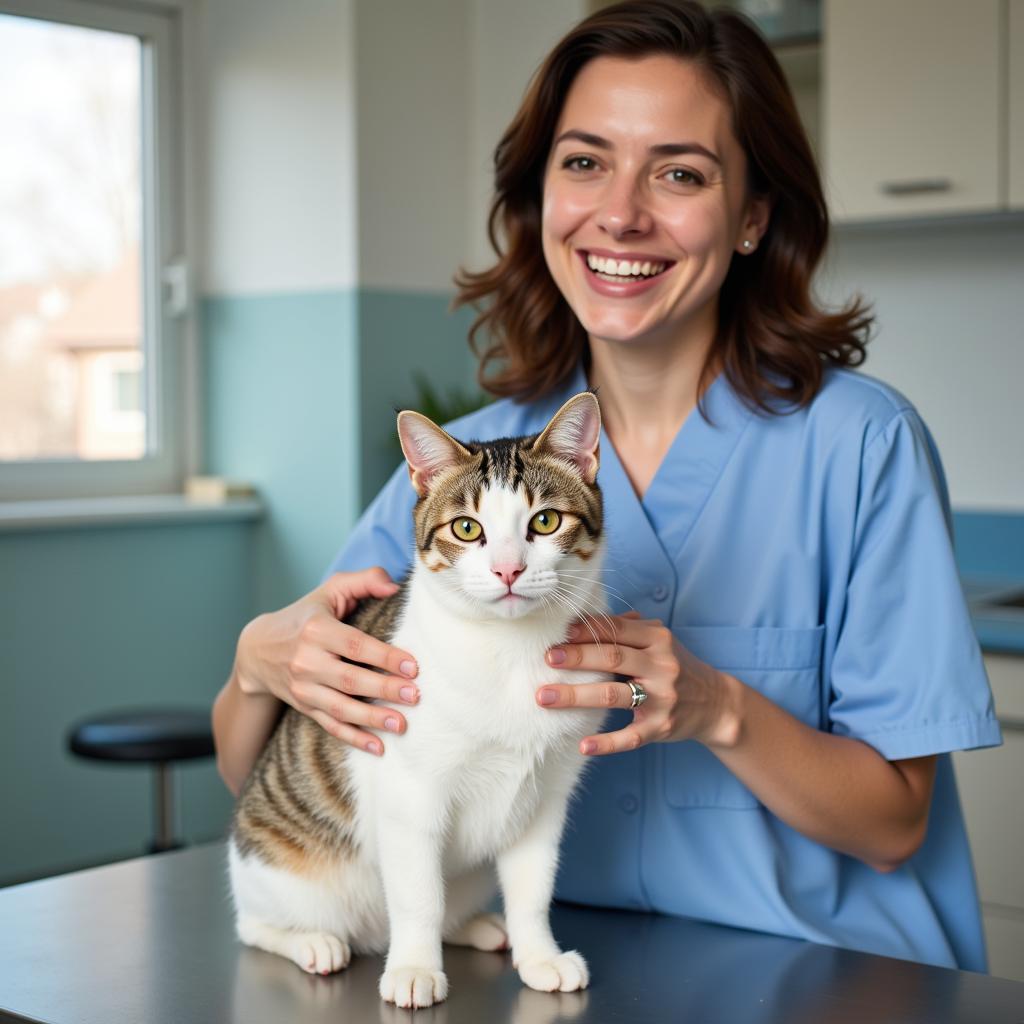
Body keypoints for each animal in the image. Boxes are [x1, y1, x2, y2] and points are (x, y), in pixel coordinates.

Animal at [230, 391, 606, 1007]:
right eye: (467, 528)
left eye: (545, 521)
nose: (508, 568)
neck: (509, 651)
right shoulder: (412, 793)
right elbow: (417, 896)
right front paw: (413, 967)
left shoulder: (546, 795)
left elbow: (532, 888)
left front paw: (539, 956)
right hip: (281, 876)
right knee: (254, 925)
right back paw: (312, 942)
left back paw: (477, 927)